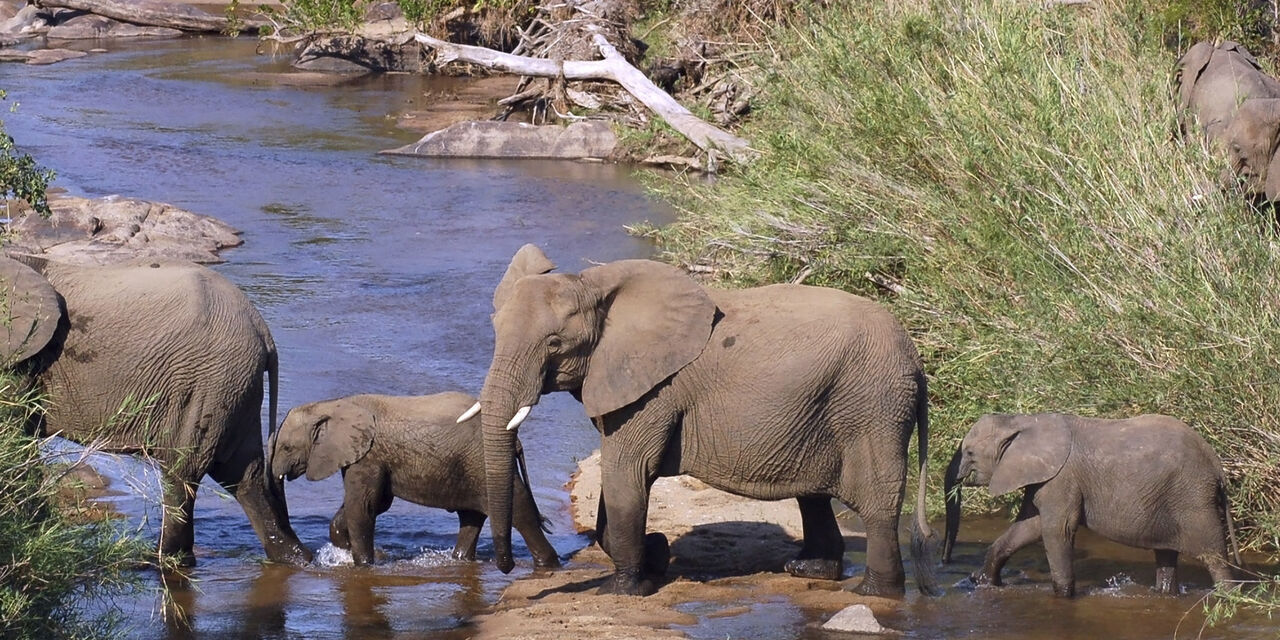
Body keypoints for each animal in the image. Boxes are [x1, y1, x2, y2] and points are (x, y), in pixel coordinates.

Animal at [268, 391, 560, 568]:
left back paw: (549, 564)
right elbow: (373, 504)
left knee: (518, 508)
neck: (332, 404)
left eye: (286, 448)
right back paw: (459, 560)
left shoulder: (370, 456)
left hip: (483, 461)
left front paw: (365, 565)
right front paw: (356, 552)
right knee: (471, 517)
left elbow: (362, 507)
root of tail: (515, 439)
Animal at [463, 243, 942, 593]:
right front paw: (656, 556)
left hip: (873, 405)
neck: (595, 285)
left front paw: (623, 589)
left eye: (555, 344)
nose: (505, 567)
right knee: (814, 494)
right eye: (494, 329)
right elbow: (618, 486)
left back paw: (874, 593)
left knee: (877, 504)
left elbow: (626, 473)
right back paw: (808, 570)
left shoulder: (655, 390)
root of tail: (917, 361)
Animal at [942, 412, 1239, 596]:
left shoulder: (1061, 479)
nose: (945, 562)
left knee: (1214, 556)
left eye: (970, 453)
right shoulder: (1044, 479)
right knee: (1166, 555)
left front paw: (1063, 596)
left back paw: (1229, 596)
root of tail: (1217, 466)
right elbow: (1029, 528)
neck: (1022, 420)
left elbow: (1056, 530)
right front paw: (983, 582)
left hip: (1193, 498)